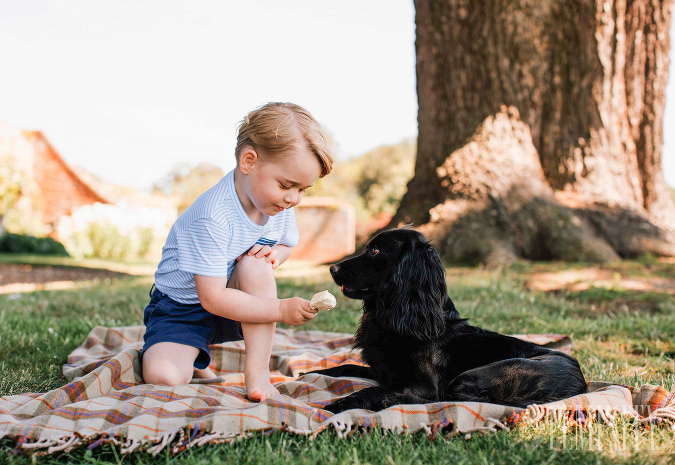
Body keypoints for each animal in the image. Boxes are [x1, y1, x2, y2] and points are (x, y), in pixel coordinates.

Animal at [310, 227, 588, 412]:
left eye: (375, 250)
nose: (332, 268)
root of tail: (580, 385)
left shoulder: (423, 383)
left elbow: (375, 389)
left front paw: (338, 404)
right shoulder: (385, 372)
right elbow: (344, 367)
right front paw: (310, 373)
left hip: (477, 375)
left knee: (447, 399)